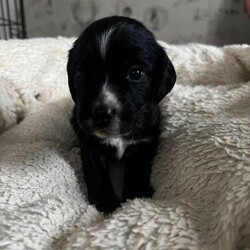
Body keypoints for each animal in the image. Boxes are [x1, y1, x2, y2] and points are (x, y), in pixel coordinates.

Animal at [66, 16, 176, 215]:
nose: (102, 113)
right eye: (80, 73)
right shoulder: (91, 145)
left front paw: (135, 197)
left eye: (136, 73)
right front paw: (106, 204)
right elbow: (97, 174)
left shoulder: (146, 140)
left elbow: (137, 168)